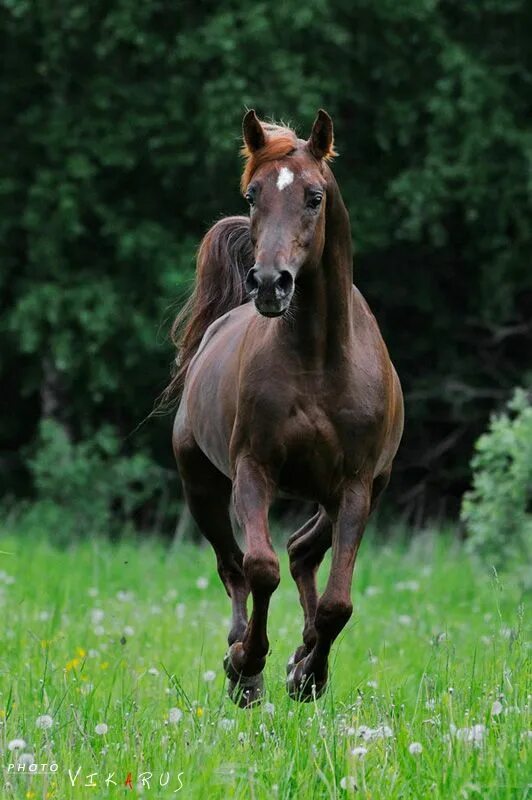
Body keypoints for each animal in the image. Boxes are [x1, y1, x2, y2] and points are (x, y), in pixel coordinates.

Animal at [168, 108, 402, 708]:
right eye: (253, 196)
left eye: (314, 197)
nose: (271, 283)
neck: (319, 361)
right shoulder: (255, 469)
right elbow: (260, 568)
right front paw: (248, 665)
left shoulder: (356, 484)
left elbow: (338, 600)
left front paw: (307, 674)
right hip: (201, 485)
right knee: (234, 567)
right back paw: (239, 655)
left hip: (354, 491)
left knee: (303, 552)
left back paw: (304, 653)